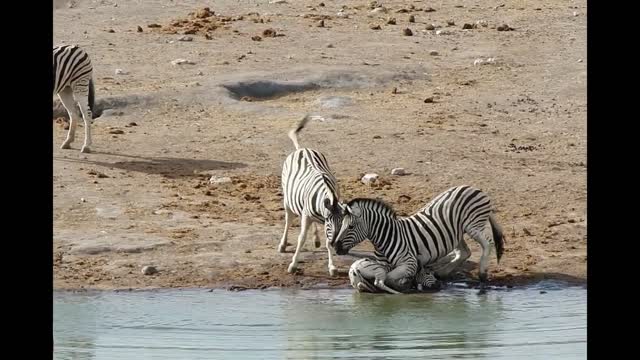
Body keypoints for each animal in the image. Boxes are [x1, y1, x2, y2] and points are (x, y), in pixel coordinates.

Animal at [276, 114, 344, 276]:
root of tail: (302, 149)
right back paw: (283, 245)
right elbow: (301, 238)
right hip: (288, 201)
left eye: (342, 224)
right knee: (288, 220)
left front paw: (332, 267)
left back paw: (316, 239)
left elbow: (327, 241)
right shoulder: (308, 215)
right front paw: (293, 265)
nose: (337, 243)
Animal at [330, 184, 504, 294]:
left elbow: (390, 278)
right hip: (456, 232)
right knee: (464, 252)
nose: (336, 246)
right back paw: (442, 272)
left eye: (350, 226)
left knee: (487, 244)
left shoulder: (409, 262)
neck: (387, 237)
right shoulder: (380, 265)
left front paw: (405, 285)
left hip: (472, 225)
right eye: (342, 224)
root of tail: (473, 188)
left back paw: (482, 273)